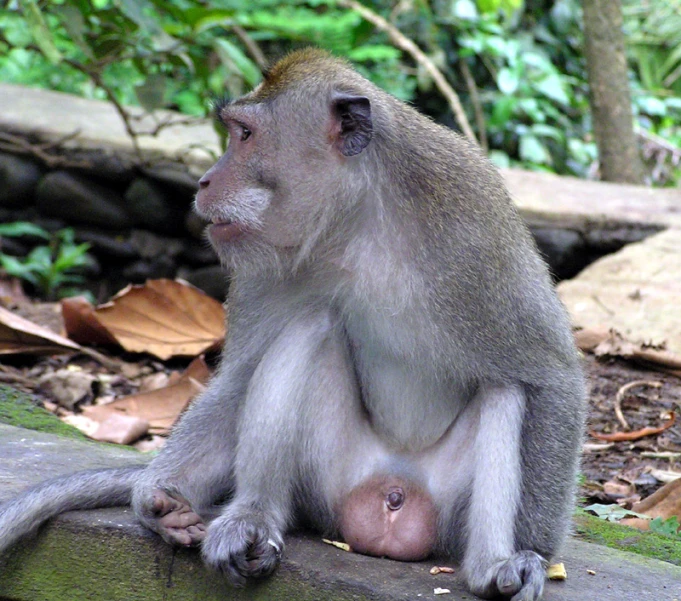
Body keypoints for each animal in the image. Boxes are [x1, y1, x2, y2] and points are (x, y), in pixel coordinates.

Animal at [0, 48, 584, 600]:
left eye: (245, 135)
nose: (205, 180)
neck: (356, 223)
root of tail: (391, 494)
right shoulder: (264, 265)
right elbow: (242, 375)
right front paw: (159, 497)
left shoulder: (474, 232)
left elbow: (549, 375)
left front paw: (532, 551)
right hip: (329, 485)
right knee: (310, 327)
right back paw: (253, 517)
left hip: (445, 510)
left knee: (503, 390)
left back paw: (489, 566)